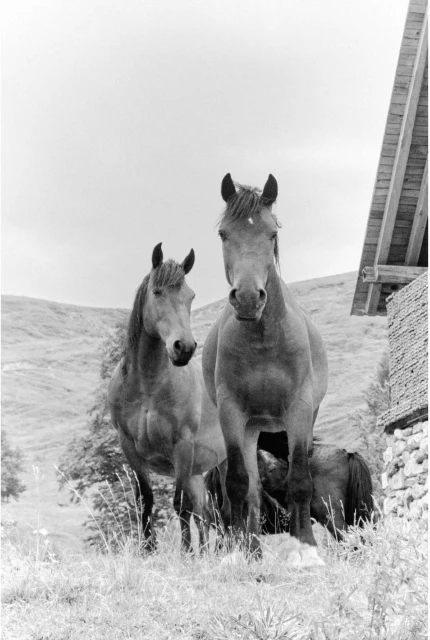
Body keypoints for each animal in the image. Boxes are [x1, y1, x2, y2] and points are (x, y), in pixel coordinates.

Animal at [108, 243, 226, 554]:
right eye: (157, 292)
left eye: (190, 295)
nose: (183, 347)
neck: (148, 387)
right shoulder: (131, 449)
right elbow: (145, 501)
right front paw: (148, 551)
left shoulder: (181, 447)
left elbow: (180, 506)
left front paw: (185, 554)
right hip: (198, 472)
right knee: (206, 515)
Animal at [202, 174, 329, 566]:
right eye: (223, 234)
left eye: (271, 234)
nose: (246, 298)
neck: (263, 339)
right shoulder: (232, 414)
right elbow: (239, 484)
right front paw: (239, 551)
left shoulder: (299, 411)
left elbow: (300, 479)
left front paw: (306, 549)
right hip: (249, 428)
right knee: (252, 489)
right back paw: (252, 547)